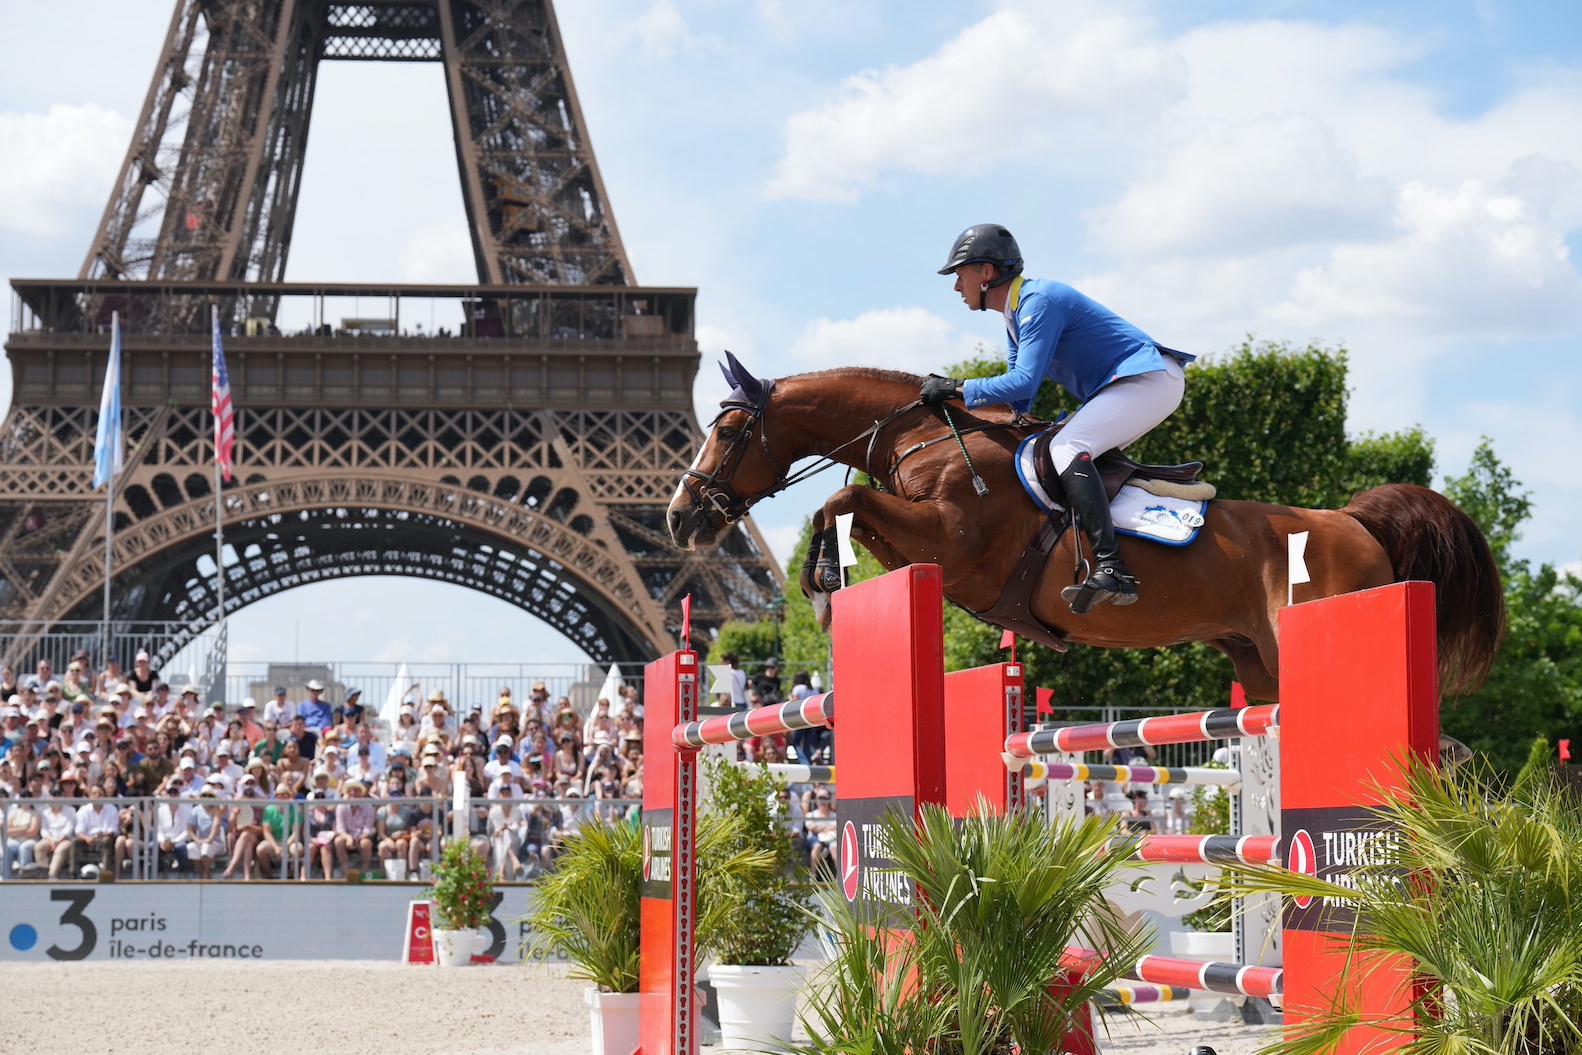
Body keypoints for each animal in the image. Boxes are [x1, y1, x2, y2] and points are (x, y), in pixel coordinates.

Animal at [667, 363, 1506, 702]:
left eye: (730, 430)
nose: (679, 514)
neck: (926, 438)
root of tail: (1355, 522)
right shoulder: (928, 550)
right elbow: (848, 510)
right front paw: (825, 585)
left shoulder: (953, 542)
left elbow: (839, 503)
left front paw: (817, 590)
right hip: (1257, 659)